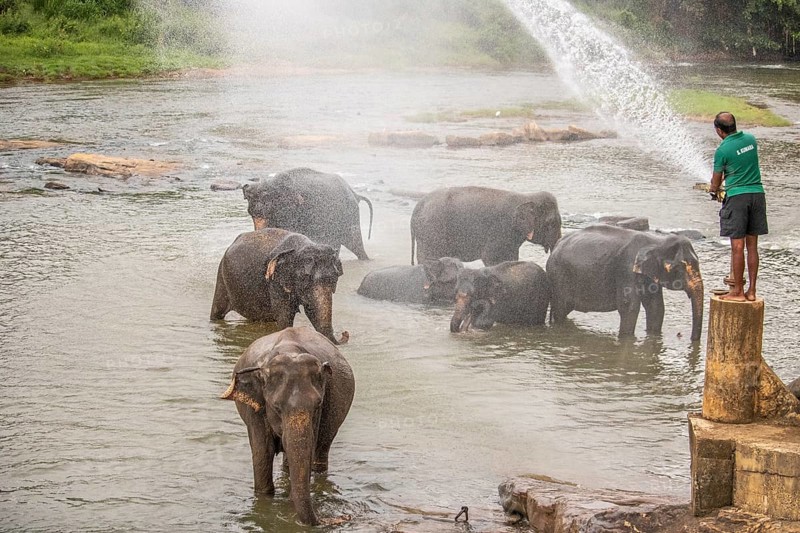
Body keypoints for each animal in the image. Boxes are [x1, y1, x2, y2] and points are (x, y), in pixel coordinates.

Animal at [210, 228, 347, 345]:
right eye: (305, 278)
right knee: (217, 310)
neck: (300, 247)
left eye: (335, 278)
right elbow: (284, 316)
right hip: (222, 276)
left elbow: (311, 311)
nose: (344, 333)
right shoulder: (275, 282)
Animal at [220, 326, 355, 526]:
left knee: (322, 449)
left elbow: (308, 449)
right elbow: (263, 451)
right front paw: (265, 500)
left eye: (317, 405)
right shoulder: (255, 409)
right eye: (276, 407)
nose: (343, 517)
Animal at [410, 186, 562, 266]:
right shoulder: (500, 229)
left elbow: (512, 258)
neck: (526, 197)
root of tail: (418, 206)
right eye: (551, 223)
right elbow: (491, 258)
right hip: (431, 232)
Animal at [546, 225, 705, 341]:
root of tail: (556, 245)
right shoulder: (626, 269)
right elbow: (629, 306)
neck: (656, 241)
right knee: (561, 310)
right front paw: (626, 338)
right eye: (681, 267)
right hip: (559, 277)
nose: (683, 336)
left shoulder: (649, 274)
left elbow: (655, 306)